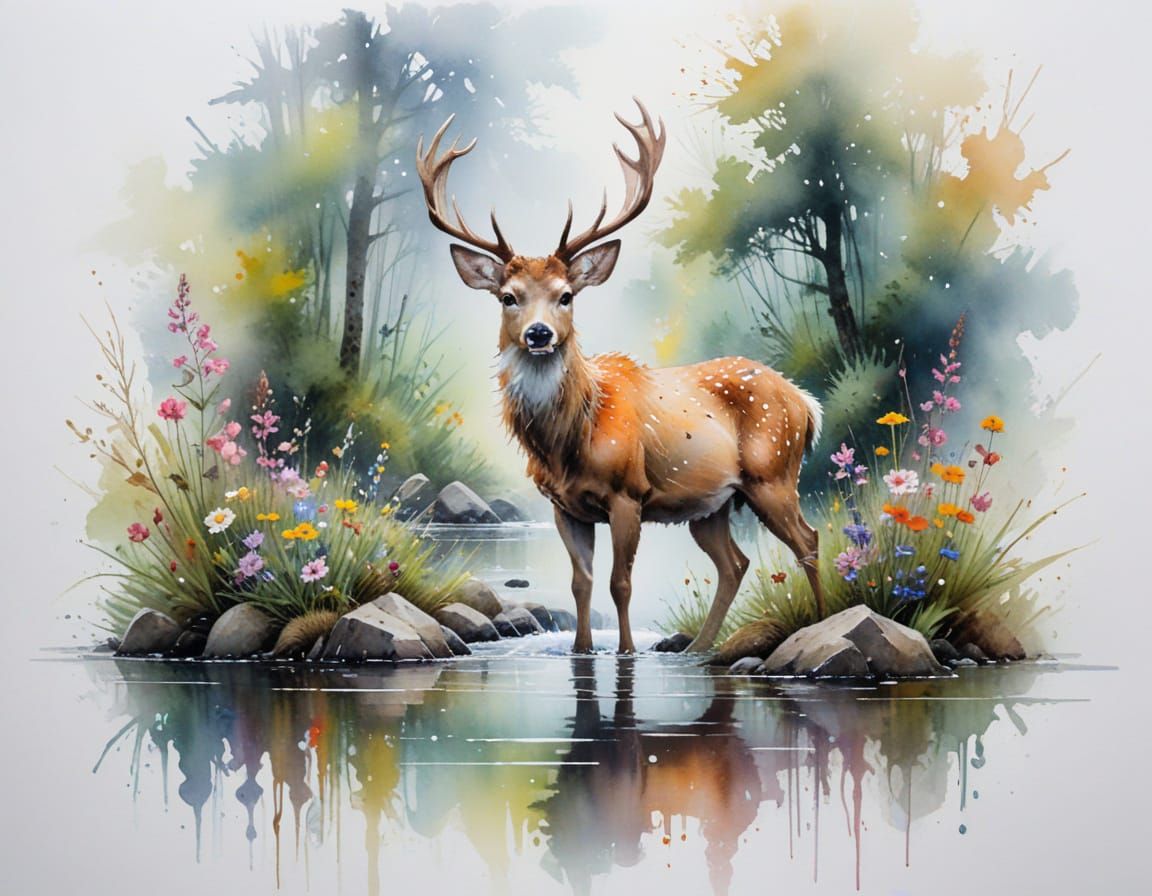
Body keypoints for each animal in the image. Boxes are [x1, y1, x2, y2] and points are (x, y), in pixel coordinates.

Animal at [416, 99, 825, 655]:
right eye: (508, 297)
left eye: (567, 295)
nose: (539, 334)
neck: (569, 442)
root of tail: (806, 403)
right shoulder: (564, 506)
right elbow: (581, 582)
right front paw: (582, 650)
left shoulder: (628, 493)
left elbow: (620, 582)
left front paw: (627, 652)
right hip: (712, 504)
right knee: (734, 563)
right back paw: (699, 649)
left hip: (774, 472)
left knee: (808, 540)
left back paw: (821, 624)